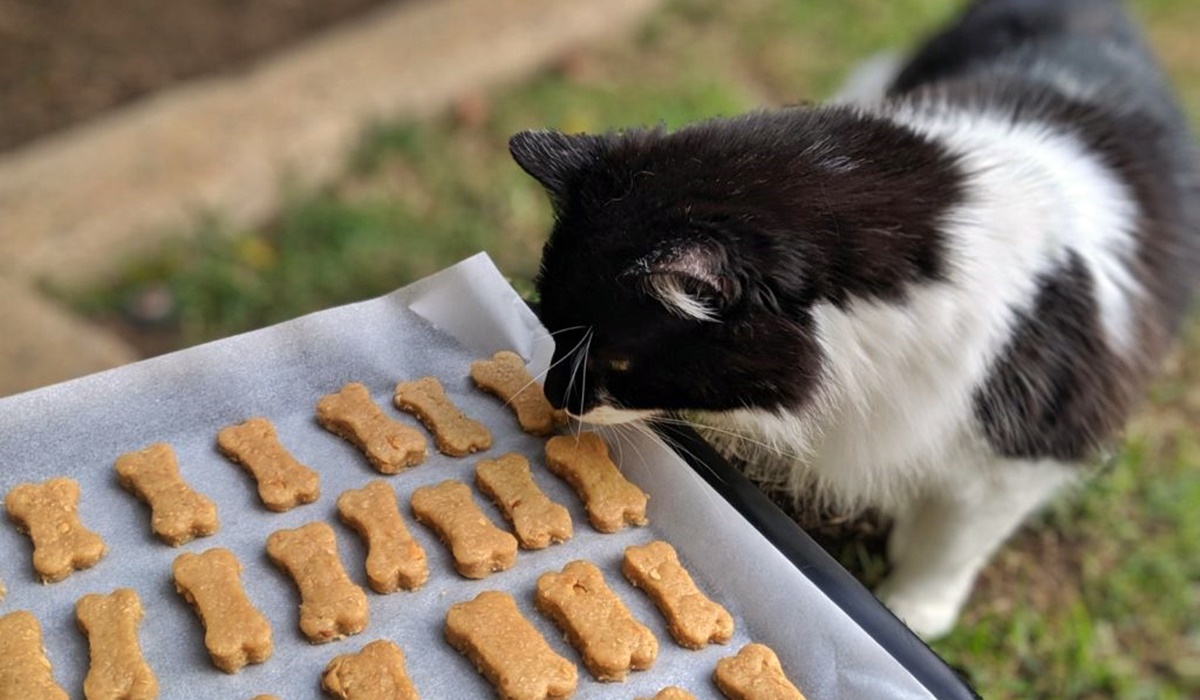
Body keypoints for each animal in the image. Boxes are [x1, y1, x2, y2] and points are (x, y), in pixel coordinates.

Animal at [511, 0, 1195, 638]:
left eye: (618, 361)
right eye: (551, 328)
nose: (554, 396)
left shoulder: (1030, 445)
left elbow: (955, 538)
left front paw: (915, 608)